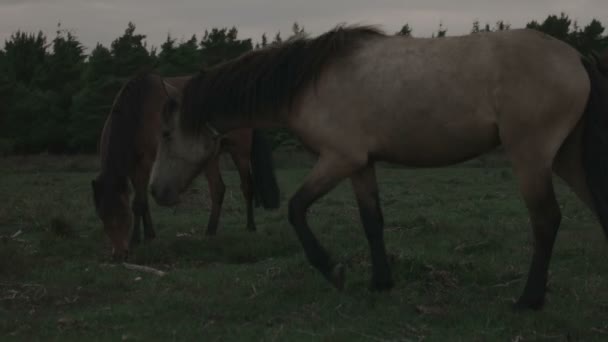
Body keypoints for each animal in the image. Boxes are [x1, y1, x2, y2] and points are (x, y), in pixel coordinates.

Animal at [90, 71, 280, 260]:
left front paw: (136, 239)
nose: (119, 254)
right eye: (101, 216)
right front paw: (149, 235)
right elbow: (143, 202)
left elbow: (138, 204)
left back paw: (247, 227)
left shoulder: (147, 163)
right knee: (219, 189)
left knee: (244, 187)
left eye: (124, 215)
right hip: (210, 155)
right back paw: (211, 231)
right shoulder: (133, 168)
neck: (138, 109)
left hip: (239, 152)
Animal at [146, 24, 608, 310]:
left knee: (546, 221)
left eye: (166, 134)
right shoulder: (360, 165)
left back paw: (528, 300)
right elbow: (372, 222)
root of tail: (575, 57)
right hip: (567, 159)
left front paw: (332, 270)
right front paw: (381, 282)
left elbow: (297, 209)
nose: (155, 192)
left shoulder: (338, 159)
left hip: (531, 157)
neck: (308, 82)